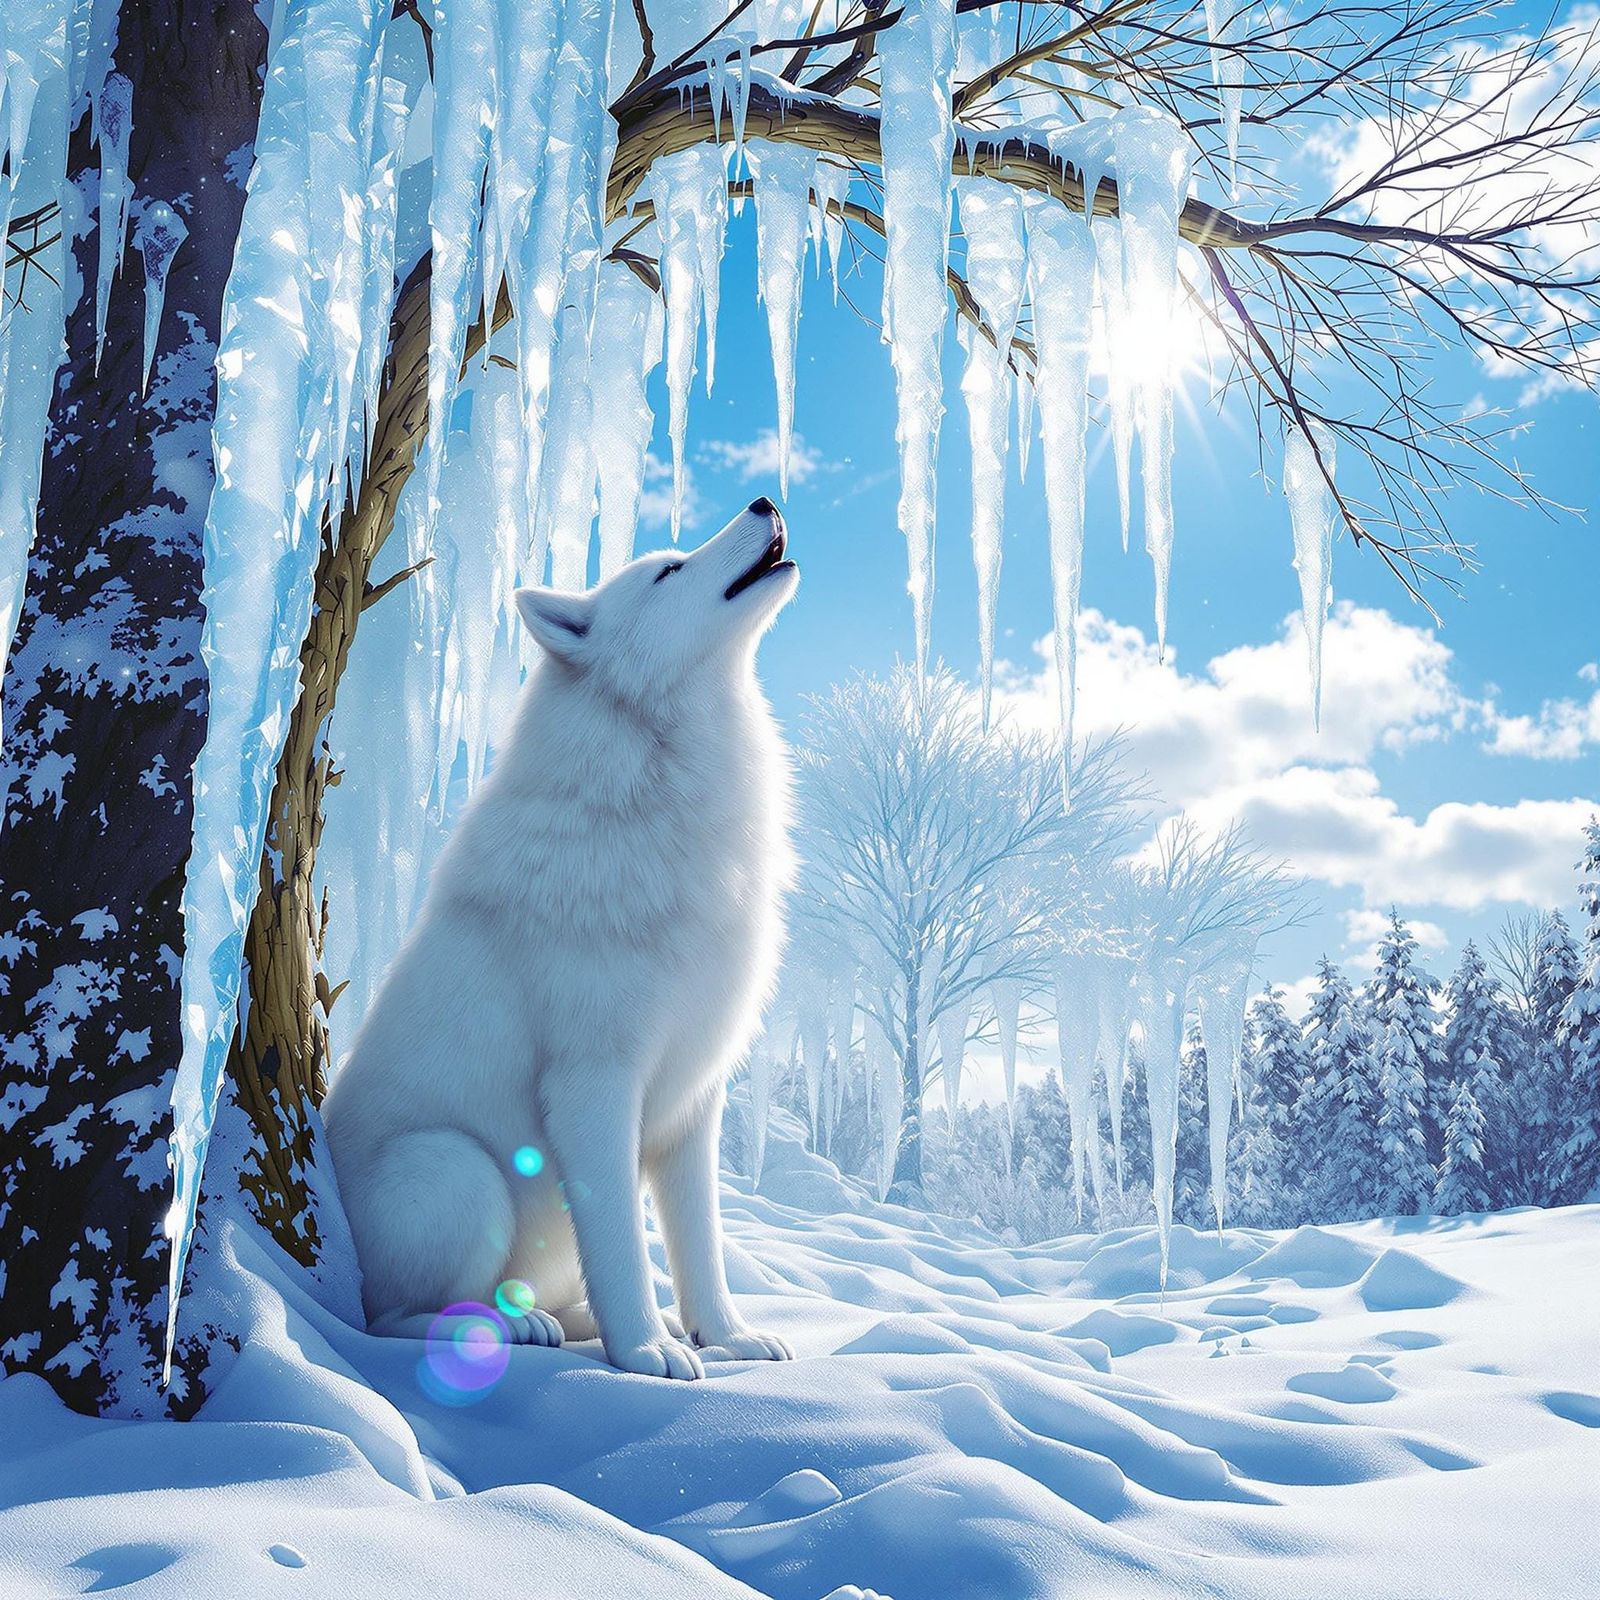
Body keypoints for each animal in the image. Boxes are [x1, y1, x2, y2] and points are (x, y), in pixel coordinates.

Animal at [323, 498, 798, 1379]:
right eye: (669, 570)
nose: (763, 502)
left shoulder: (696, 1099)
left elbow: (700, 1246)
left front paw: (723, 1336)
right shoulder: (593, 1084)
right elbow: (621, 1246)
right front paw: (645, 1353)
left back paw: (570, 1320)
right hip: (459, 1172)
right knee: (388, 1319)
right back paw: (512, 1328)